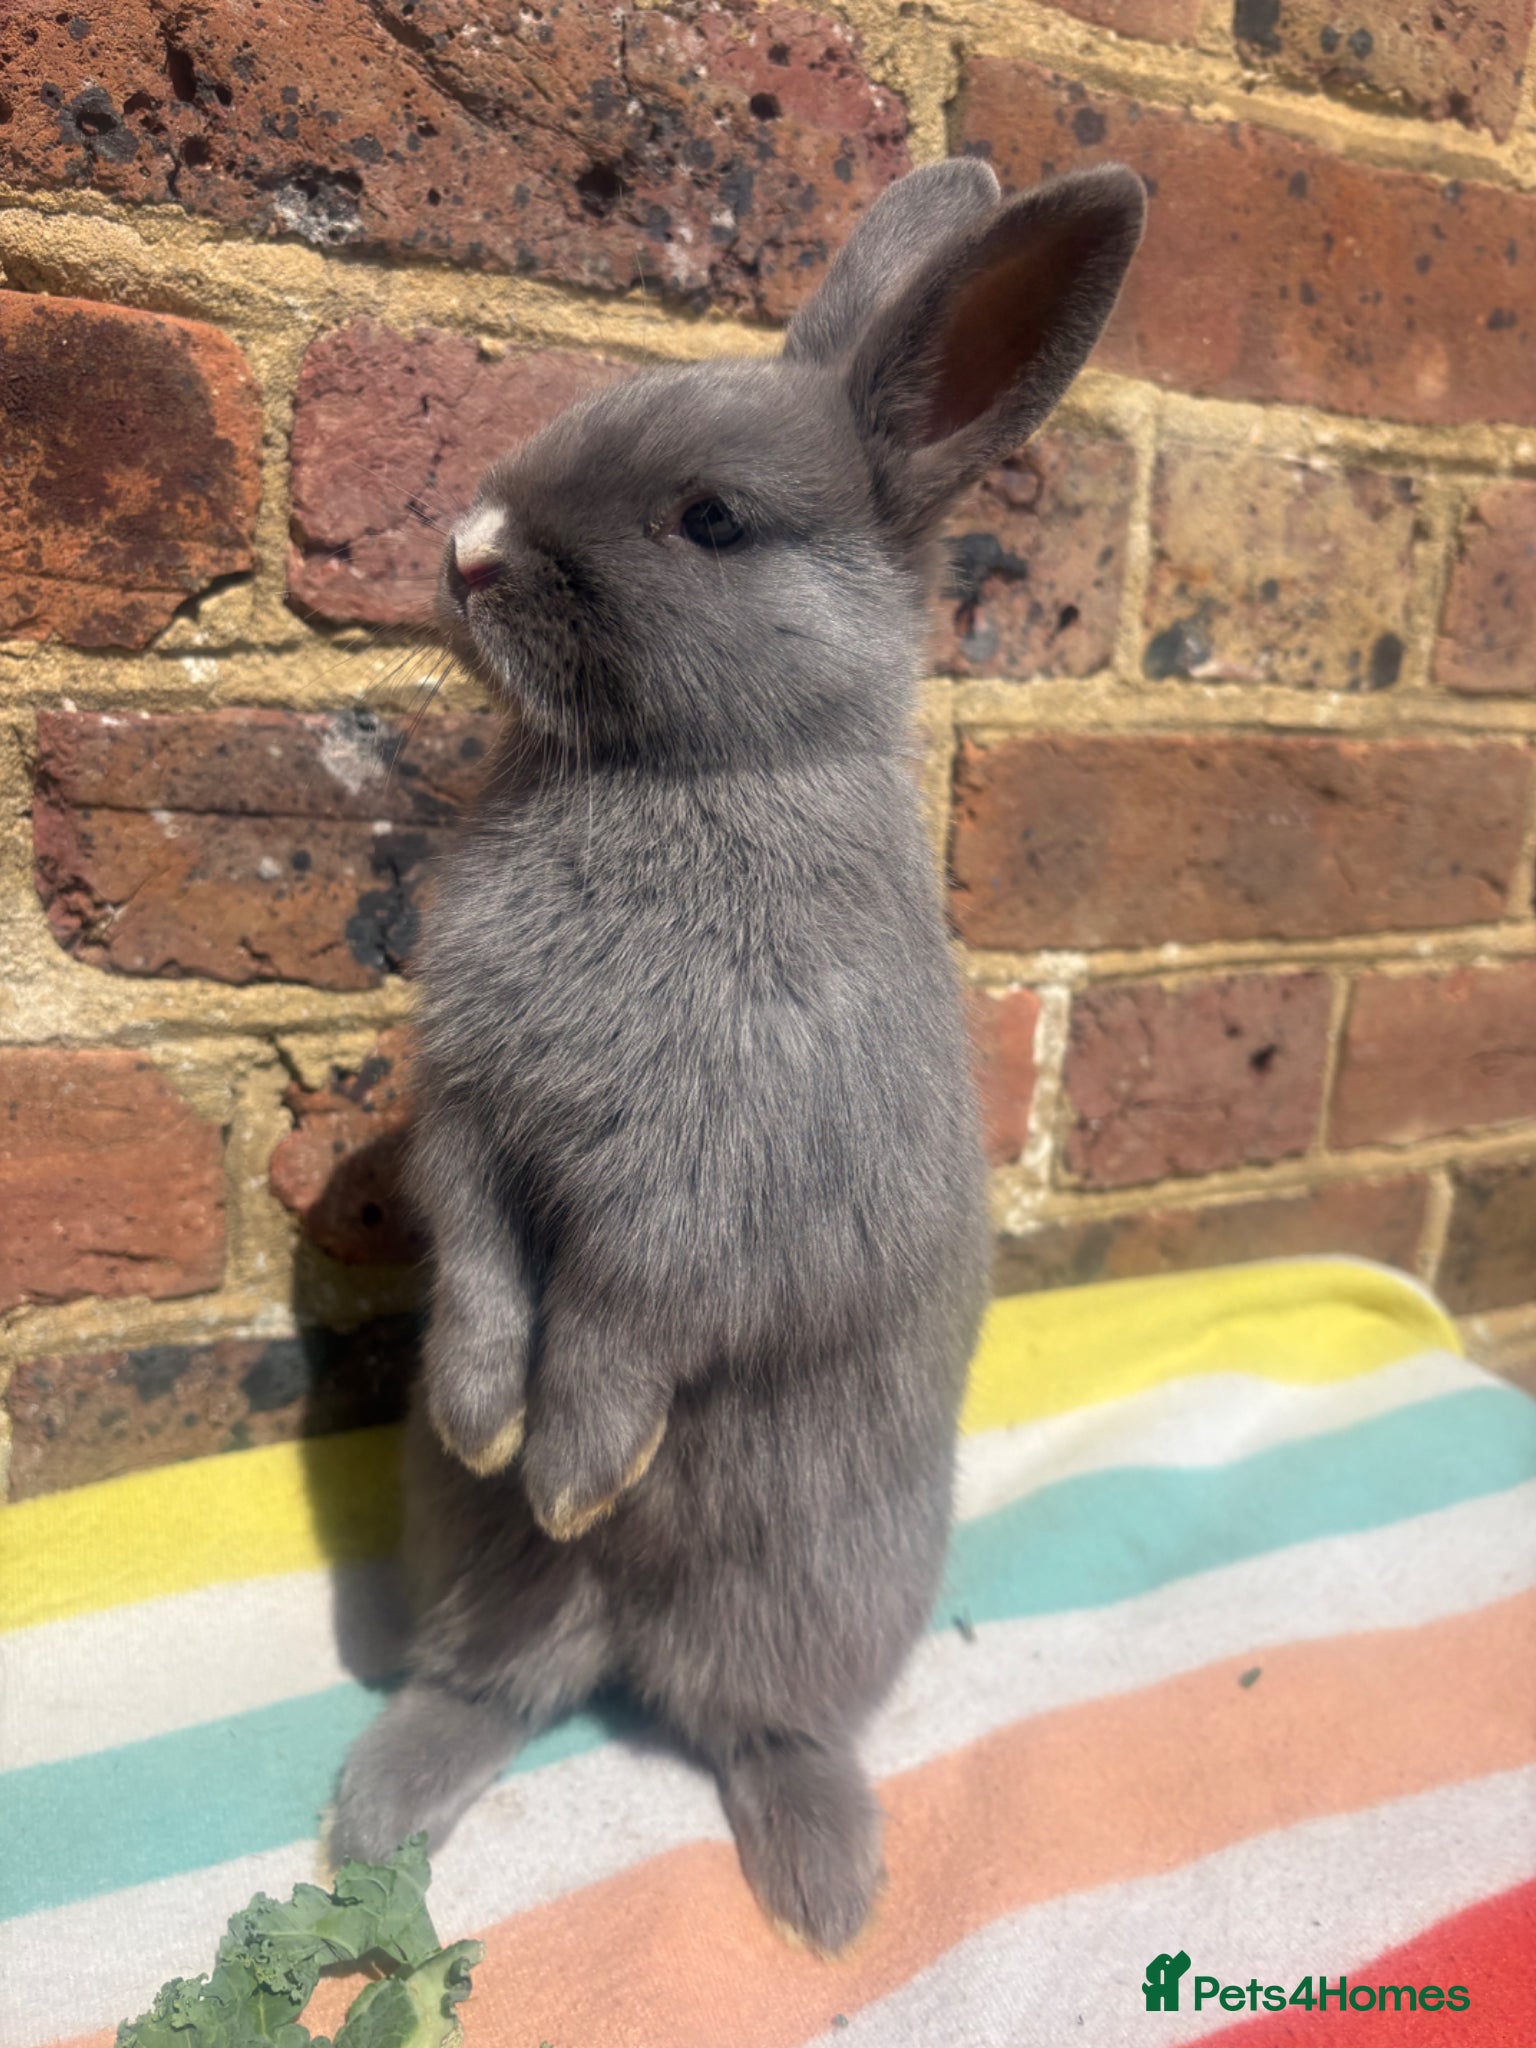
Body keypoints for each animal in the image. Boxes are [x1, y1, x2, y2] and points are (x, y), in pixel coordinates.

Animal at [332, 154, 1146, 1954]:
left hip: (812, 1590)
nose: (467, 550)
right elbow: (485, 1267)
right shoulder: (471, 1125)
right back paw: (372, 1817)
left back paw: (823, 1887)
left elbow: (629, 1316)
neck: (680, 775)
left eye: (709, 521)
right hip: (471, 1567)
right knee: (495, 1685)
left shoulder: (712, 1183)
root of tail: (627, 1636)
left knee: (766, 1722)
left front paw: (576, 1460)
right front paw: (488, 1417)